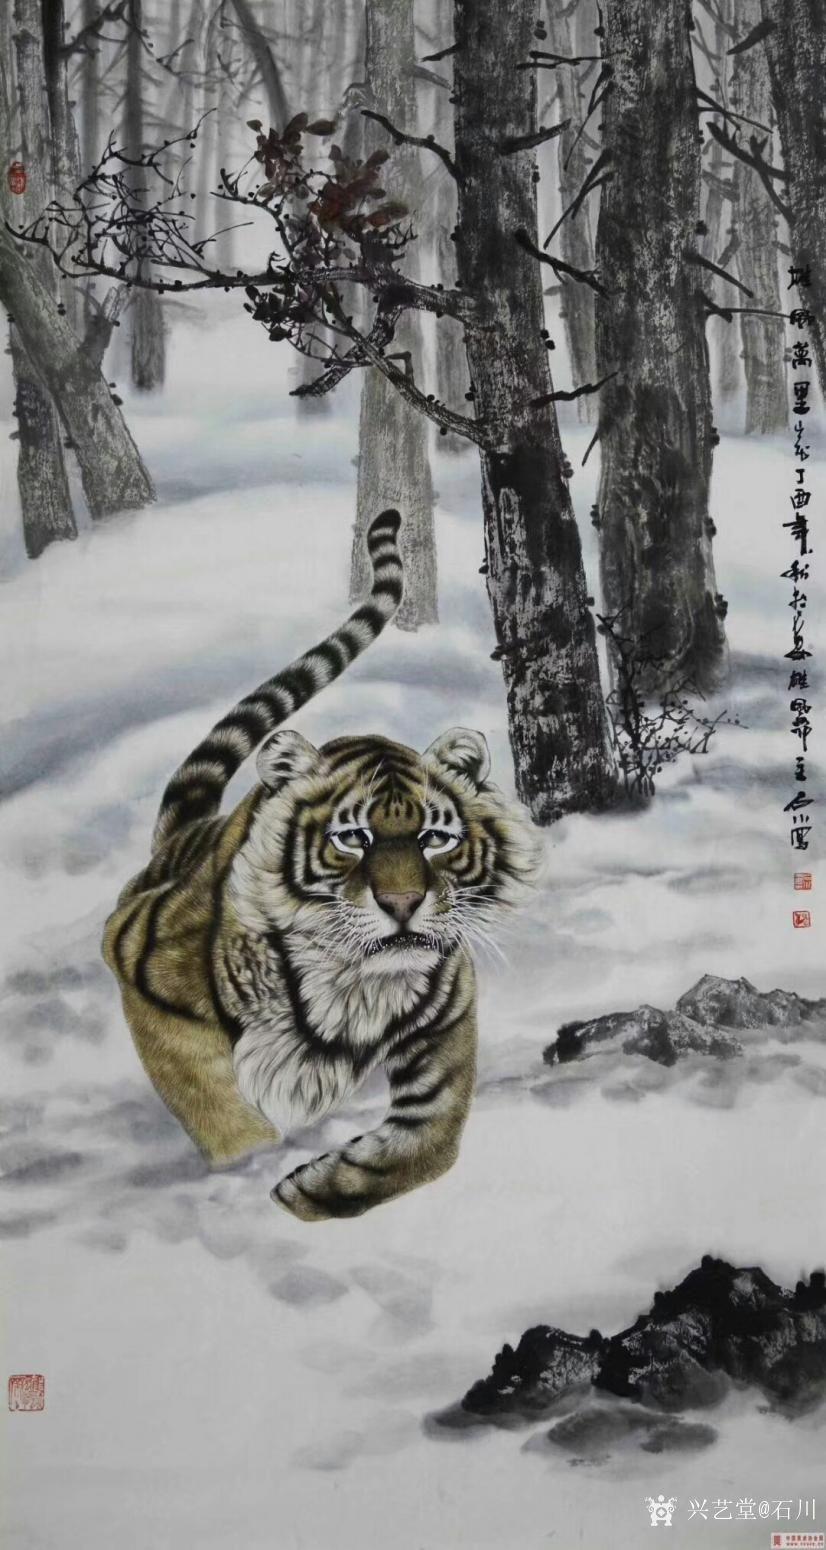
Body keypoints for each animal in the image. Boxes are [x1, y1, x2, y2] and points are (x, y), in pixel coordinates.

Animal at [103, 509, 539, 1220]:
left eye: (434, 839)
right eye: (353, 838)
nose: (402, 904)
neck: (356, 980)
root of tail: (182, 837)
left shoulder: (448, 1013)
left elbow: (433, 1138)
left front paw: (311, 1192)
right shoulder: (140, 966)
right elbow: (208, 1097)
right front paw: (251, 1166)